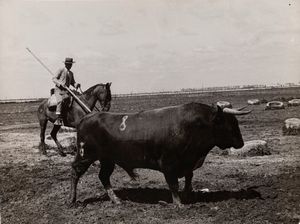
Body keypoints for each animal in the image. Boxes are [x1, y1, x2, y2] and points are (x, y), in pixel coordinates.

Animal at [69, 102, 251, 206]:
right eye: (229, 123)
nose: (241, 143)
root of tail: (87, 117)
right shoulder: (169, 164)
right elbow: (173, 184)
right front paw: (178, 203)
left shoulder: (187, 163)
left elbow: (189, 178)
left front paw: (187, 195)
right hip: (85, 155)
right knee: (75, 172)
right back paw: (72, 199)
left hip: (108, 159)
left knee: (103, 177)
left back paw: (116, 200)